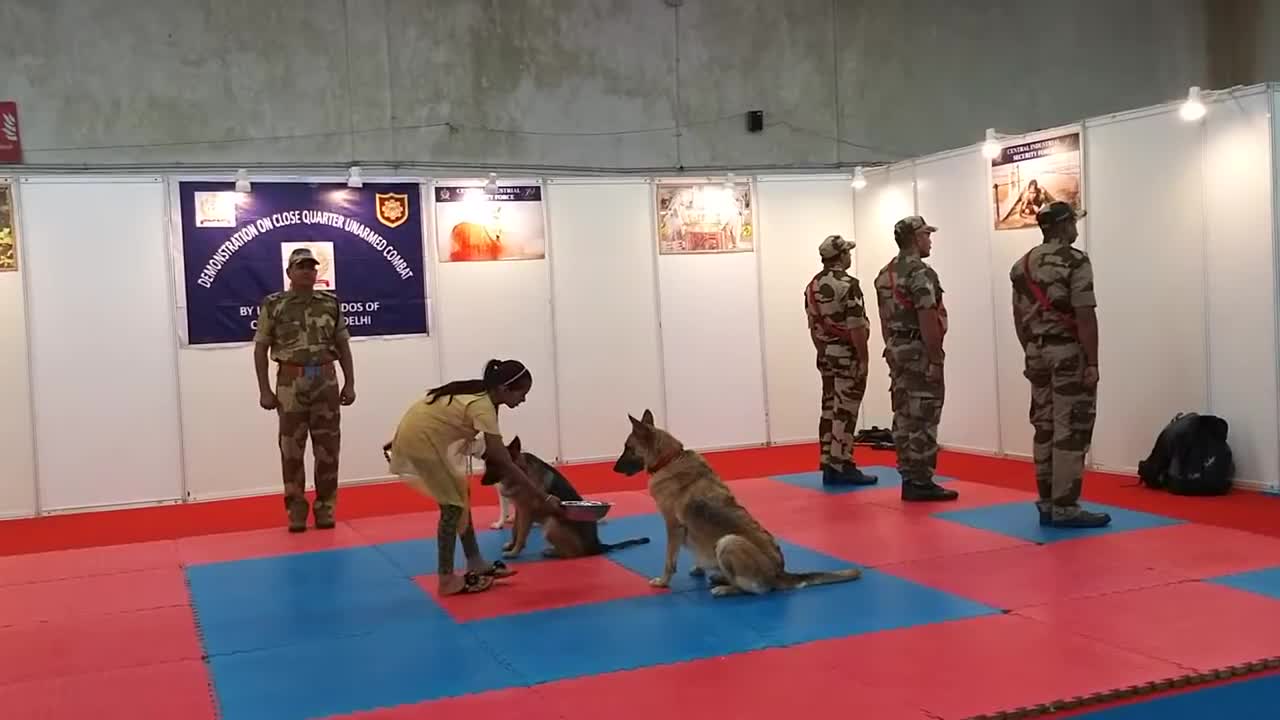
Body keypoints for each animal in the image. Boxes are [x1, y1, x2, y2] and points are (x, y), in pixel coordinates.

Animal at [478, 435, 650, 558]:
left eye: (497, 465)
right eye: (487, 465)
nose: (481, 482)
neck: (520, 471)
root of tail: (597, 546)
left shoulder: (527, 510)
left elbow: (521, 534)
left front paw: (515, 552)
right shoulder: (520, 509)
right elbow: (515, 530)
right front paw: (511, 545)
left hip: (551, 525)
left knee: (574, 554)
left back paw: (553, 552)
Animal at [611, 407, 860, 597]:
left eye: (628, 448)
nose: (613, 469)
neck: (669, 459)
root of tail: (780, 574)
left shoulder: (673, 527)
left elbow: (669, 561)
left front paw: (663, 582)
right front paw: (698, 568)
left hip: (728, 542)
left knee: (755, 589)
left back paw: (725, 588)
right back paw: (719, 577)